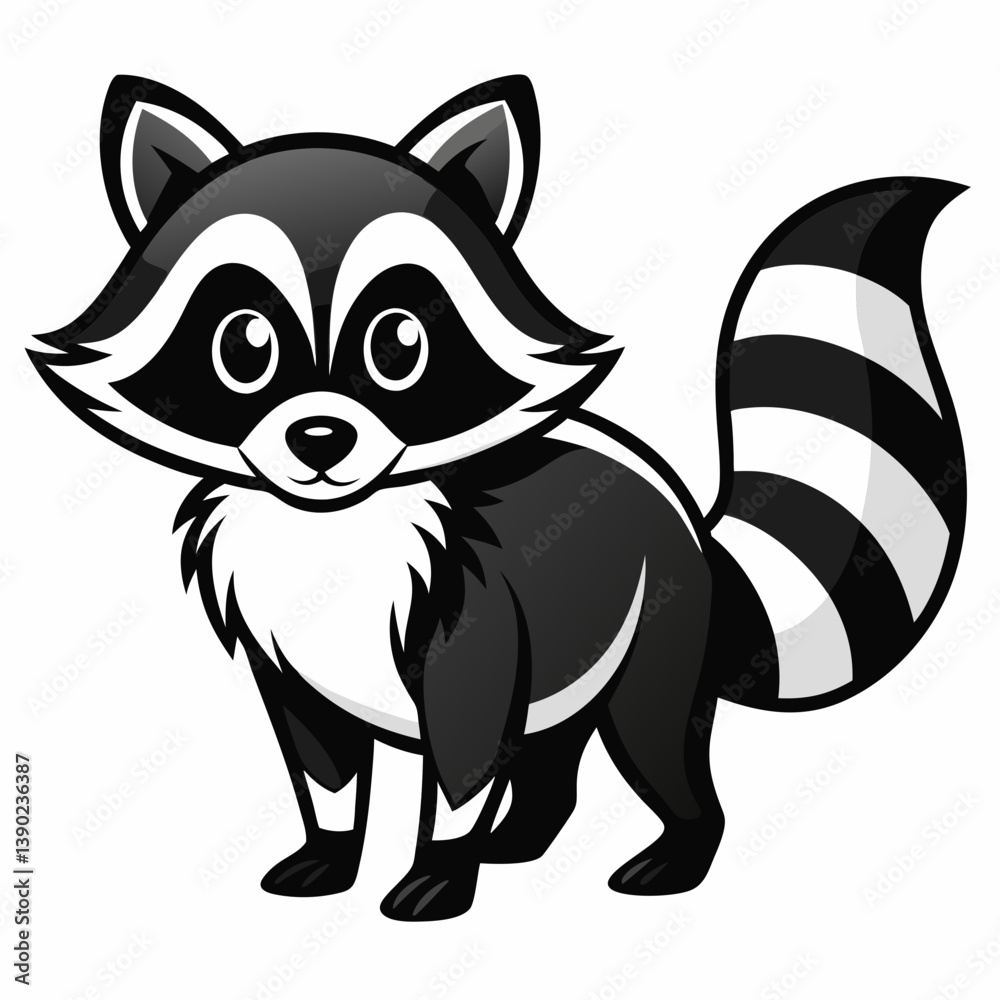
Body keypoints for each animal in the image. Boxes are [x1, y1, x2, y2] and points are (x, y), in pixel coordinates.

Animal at [30, 75, 966, 920]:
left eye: (400, 343)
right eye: (244, 346)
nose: (320, 439)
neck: (334, 530)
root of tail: (694, 534)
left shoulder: (472, 634)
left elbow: (462, 766)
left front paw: (438, 875)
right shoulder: (292, 673)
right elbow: (324, 771)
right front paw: (330, 857)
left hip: (651, 646)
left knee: (662, 754)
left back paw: (673, 857)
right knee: (551, 765)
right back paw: (520, 837)